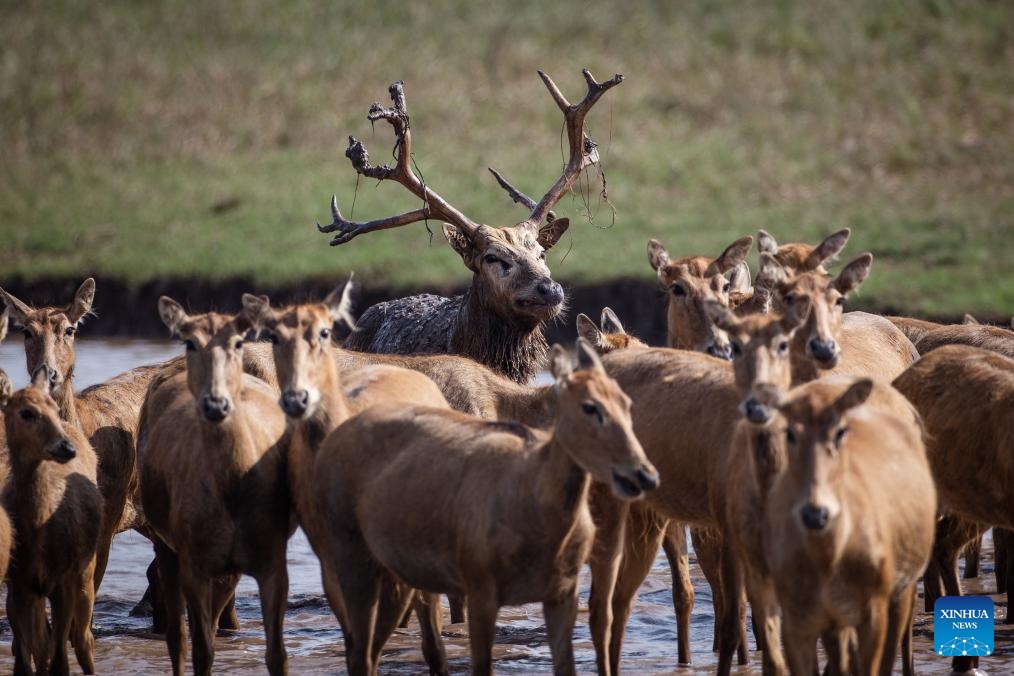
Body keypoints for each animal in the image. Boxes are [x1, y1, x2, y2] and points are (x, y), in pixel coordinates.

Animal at [3, 367, 104, 676]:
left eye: (54, 409)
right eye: (26, 412)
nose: (66, 448)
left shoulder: (64, 579)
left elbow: (60, 660)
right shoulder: (19, 584)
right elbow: (26, 662)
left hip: (85, 570)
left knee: (83, 640)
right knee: (43, 646)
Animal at [138, 299, 292, 676]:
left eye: (237, 342)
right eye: (189, 341)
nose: (215, 402)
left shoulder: (272, 559)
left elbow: (277, 654)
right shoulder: (194, 559)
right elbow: (202, 650)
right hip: (167, 541)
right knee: (177, 637)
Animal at [765, 378, 936, 676]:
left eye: (839, 431)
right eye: (790, 433)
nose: (816, 514)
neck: (828, 558)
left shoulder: (873, 611)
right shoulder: (797, 619)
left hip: (901, 591)